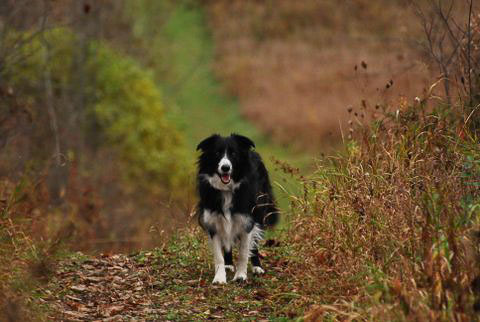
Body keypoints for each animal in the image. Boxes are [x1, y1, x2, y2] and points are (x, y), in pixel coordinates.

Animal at [195, 133, 278, 284]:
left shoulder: (247, 220)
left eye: (233, 154)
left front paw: (240, 276)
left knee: (254, 243)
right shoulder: (213, 221)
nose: (225, 168)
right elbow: (218, 255)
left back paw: (257, 267)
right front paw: (219, 278)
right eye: (217, 153)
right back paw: (228, 265)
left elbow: (244, 252)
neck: (227, 190)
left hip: (259, 209)